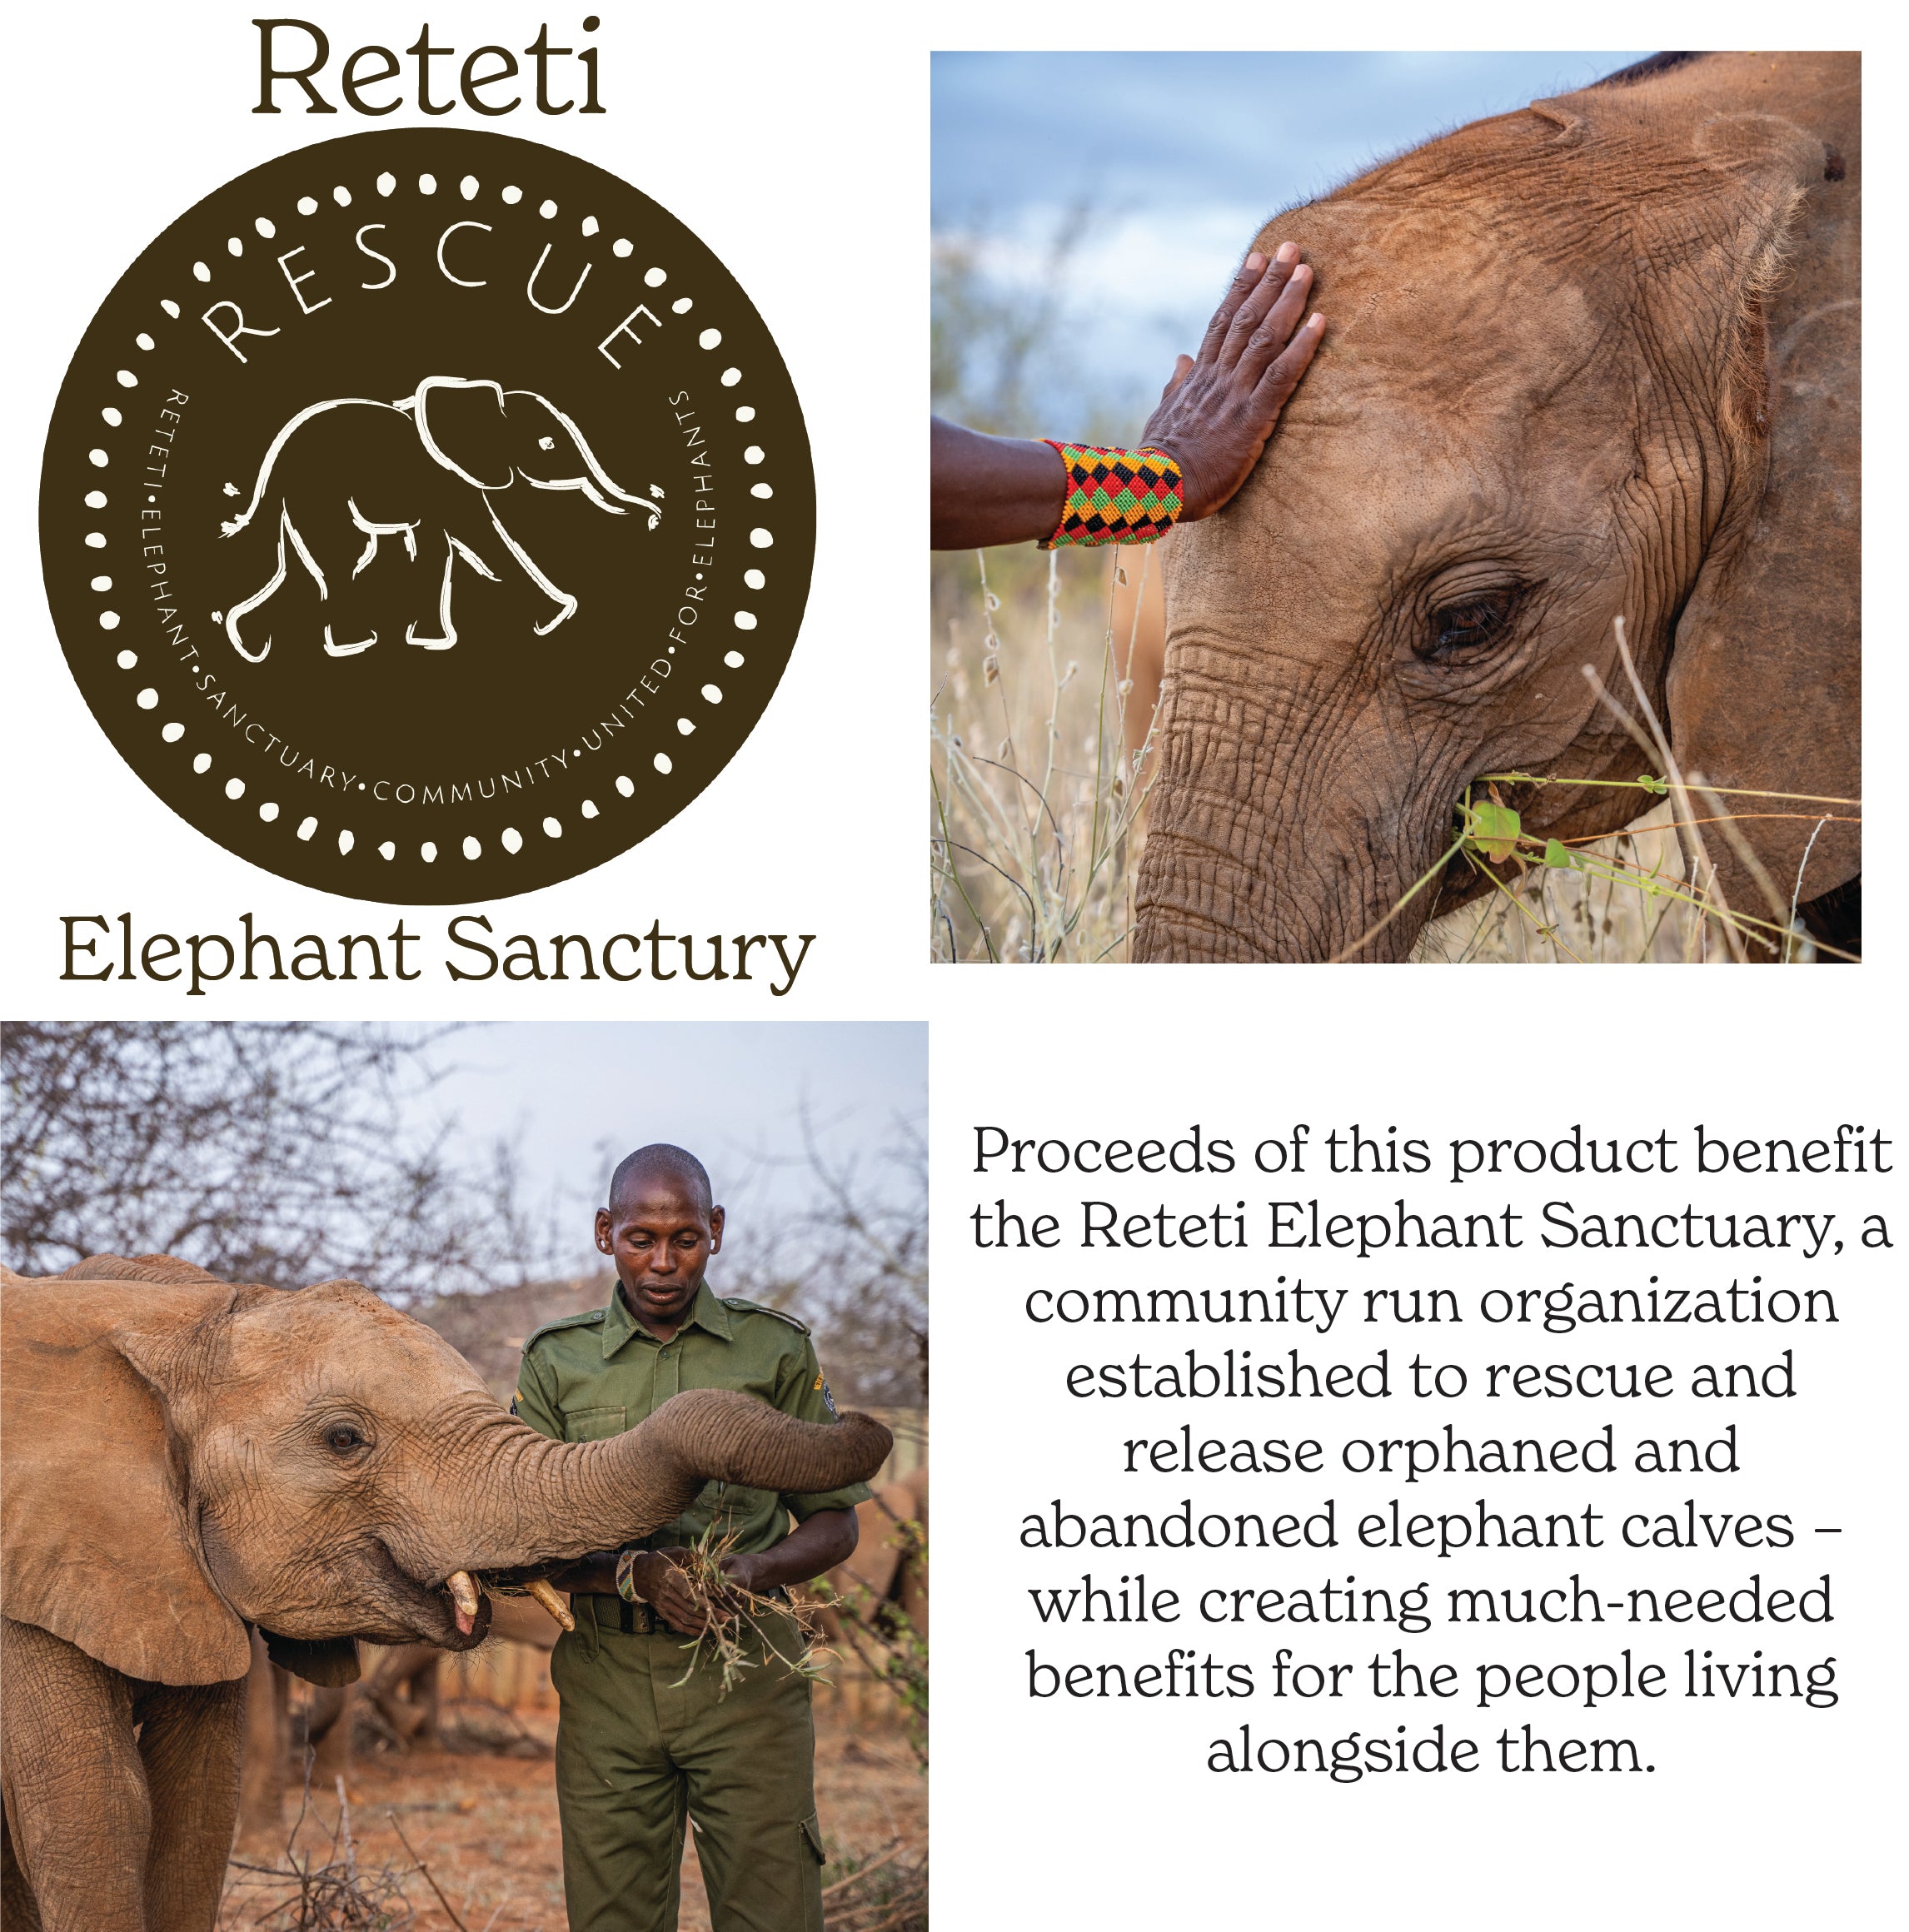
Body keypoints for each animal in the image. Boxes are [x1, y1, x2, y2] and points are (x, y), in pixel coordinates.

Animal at [218, 375, 664, 663]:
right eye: (548, 444)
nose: (654, 521)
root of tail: (273, 463)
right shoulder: (446, 477)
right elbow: (478, 535)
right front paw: (556, 618)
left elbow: (439, 548)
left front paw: (428, 641)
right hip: (318, 492)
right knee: (345, 556)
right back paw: (352, 646)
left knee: (304, 567)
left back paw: (264, 644)